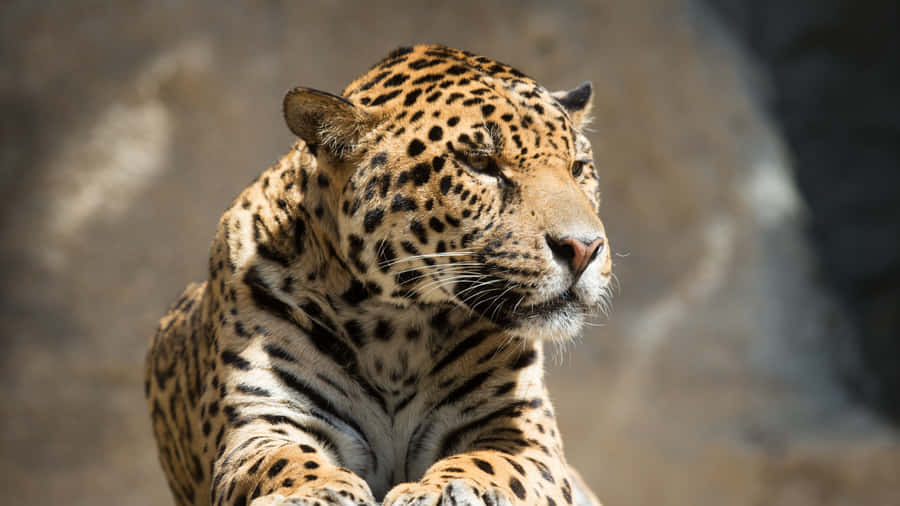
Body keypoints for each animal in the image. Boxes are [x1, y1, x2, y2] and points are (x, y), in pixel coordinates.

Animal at [145, 44, 611, 506]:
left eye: (578, 167)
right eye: (480, 164)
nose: (584, 248)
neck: (396, 328)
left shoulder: (519, 431)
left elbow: (490, 462)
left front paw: (446, 488)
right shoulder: (262, 422)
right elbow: (283, 460)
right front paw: (316, 490)